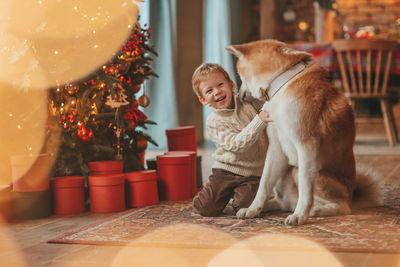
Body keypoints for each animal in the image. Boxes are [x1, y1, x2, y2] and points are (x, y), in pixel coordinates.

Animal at [225, 40, 382, 226]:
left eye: (239, 75)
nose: (240, 96)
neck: (283, 83)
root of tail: (352, 195)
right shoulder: (276, 148)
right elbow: (263, 184)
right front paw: (253, 209)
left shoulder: (306, 145)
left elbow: (306, 188)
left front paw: (300, 215)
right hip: (285, 172)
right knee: (282, 201)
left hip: (302, 172)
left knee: (342, 206)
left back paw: (314, 210)